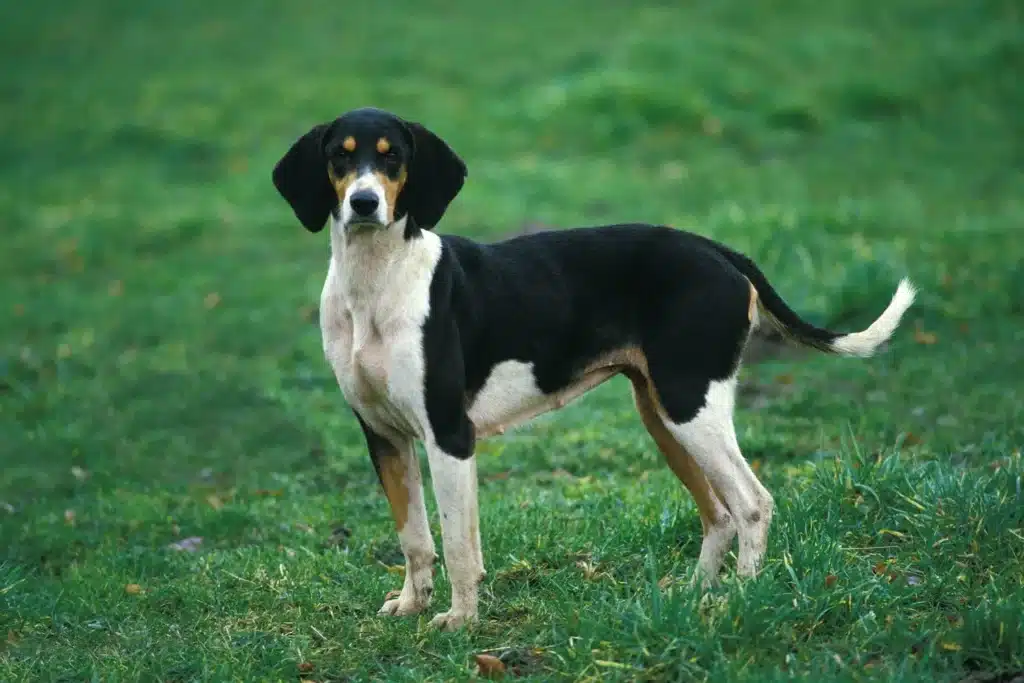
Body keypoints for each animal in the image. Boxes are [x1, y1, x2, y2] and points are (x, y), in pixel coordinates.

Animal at [268, 105, 917, 630]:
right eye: (339, 156)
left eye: (392, 157)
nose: (364, 203)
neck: (377, 286)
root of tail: (718, 251)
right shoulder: (384, 436)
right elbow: (414, 538)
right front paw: (411, 606)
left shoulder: (449, 436)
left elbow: (457, 544)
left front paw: (460, 621)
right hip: (662, 416)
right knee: (718, 514)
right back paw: (693, 595)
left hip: (691, 406)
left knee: (752, 504)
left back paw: (739, 599)